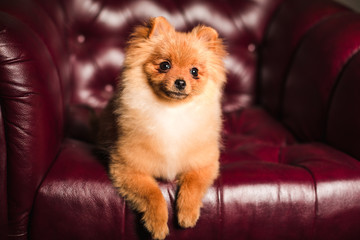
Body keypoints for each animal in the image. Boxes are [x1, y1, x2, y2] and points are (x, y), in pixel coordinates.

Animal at [97, 15, 226, 239]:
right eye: (165, 65)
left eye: (194, 72)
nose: (181, 82)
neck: (171, 111)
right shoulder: (127, 168)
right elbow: (153, 193)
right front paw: (157, 224)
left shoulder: (204, 163)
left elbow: (192, 185)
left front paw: (187, 214)